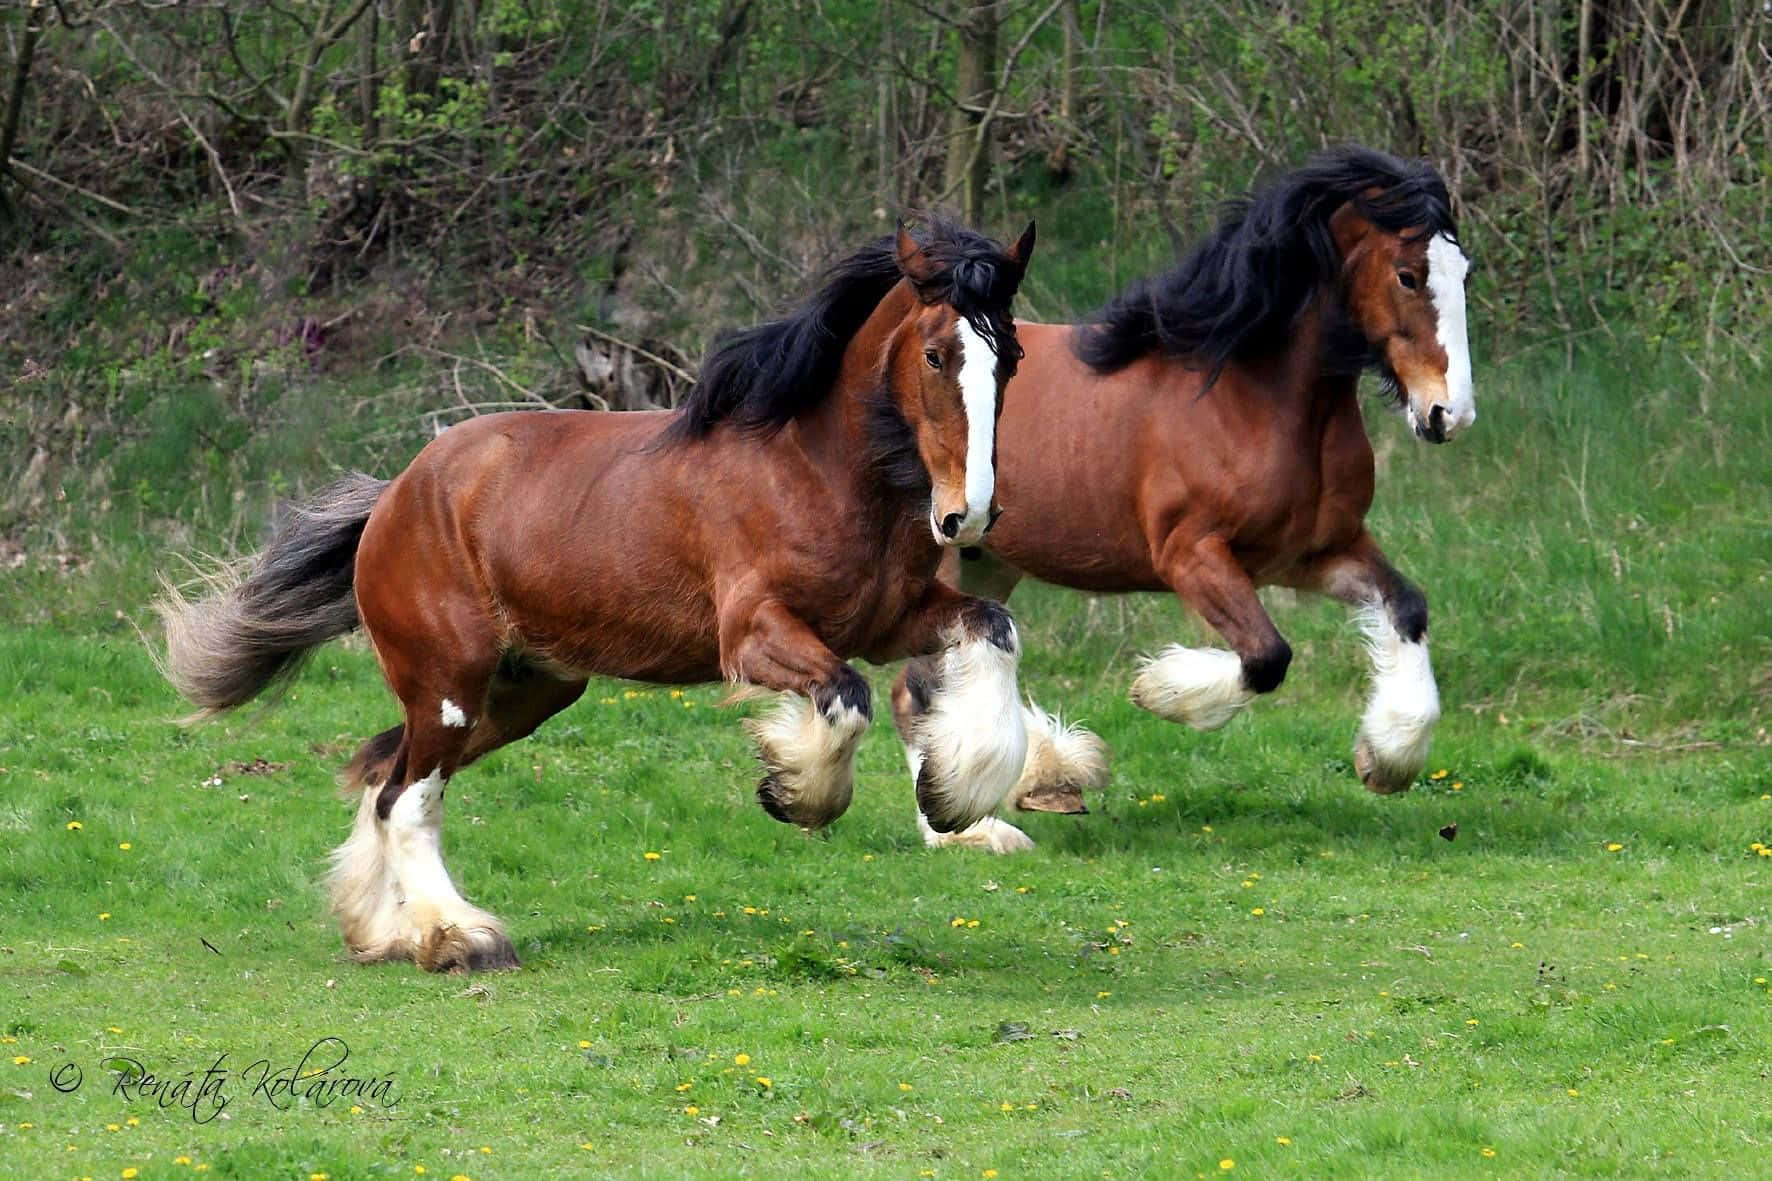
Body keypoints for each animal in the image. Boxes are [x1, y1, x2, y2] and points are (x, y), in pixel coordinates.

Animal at [156, 218, 1038, 970]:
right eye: (936, 354)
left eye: (1013, 359)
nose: (969, 514)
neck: (816, 467)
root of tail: (395, 496)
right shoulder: (755, 633)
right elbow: (846, 697)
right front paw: (794, 791)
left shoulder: (890, 619)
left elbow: (994, 629)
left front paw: (953, 797)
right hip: (449, 684)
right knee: (409, 796)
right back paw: (462, 937)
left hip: (521, 692)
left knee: (382, 773)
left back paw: (386, 931)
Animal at [890, 146, 1476, 853]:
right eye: (1409, 276)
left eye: (1464, 272)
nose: (1449, 413)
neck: (1256, 399)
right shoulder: (1192, 554)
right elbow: (1267, 655)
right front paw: (1158, 690)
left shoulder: (1316, 553)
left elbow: (1405, 606)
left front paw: (1386, 757)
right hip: (945, 559)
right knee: (914, 689)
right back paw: (963, 830)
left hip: (987, 560)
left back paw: (1021, 792)